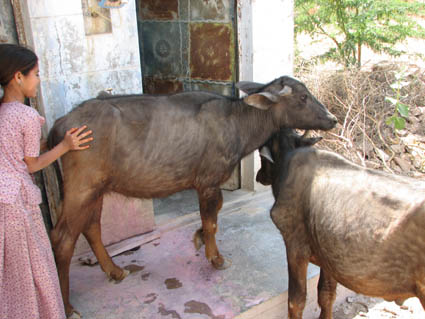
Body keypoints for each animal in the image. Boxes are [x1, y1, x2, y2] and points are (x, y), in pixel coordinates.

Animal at [47, 75, 338, 318]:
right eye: (303, 97)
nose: (333, 118)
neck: (238, 124)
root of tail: (60, 125)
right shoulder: (207, 181)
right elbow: (211, 220)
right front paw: (215, 258)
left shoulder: (210, 184)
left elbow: (214, 212)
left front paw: (198, 238)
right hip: (81, 188)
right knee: (62, 238)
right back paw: (67, 306)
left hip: (96, 189)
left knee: (91, 227)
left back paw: (115, 270)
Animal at [255, 129, 424, 319]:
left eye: (261, 156)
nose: (258, 175)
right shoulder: (328, 256)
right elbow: (326, 294)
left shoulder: (296, 247)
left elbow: (296, 301)